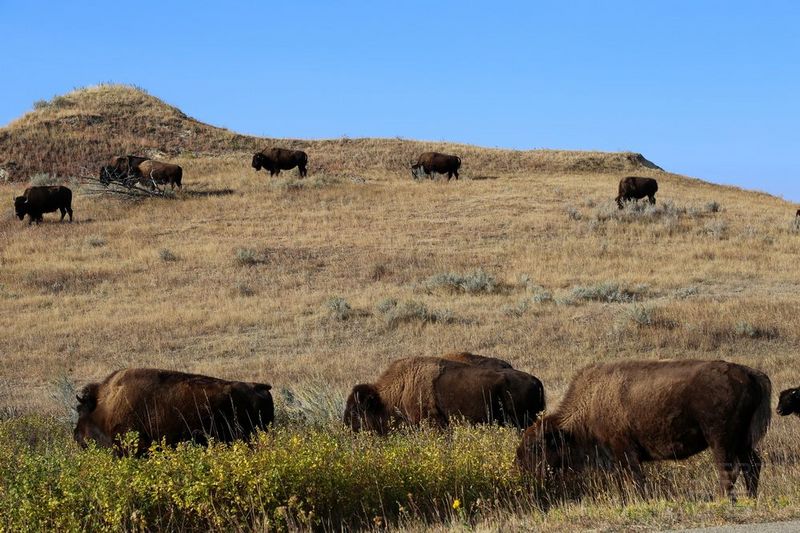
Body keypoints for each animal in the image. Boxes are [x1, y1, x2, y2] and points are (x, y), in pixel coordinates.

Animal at [516, 360, 772, 500]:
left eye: (535, 447)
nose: (521, 467)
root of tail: (750, 374)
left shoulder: (625, 452)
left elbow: (636, 479)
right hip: (742, 440)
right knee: (751, 465)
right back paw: (751, 498)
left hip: (720, 439)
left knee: (728, 469)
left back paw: (720, 500)